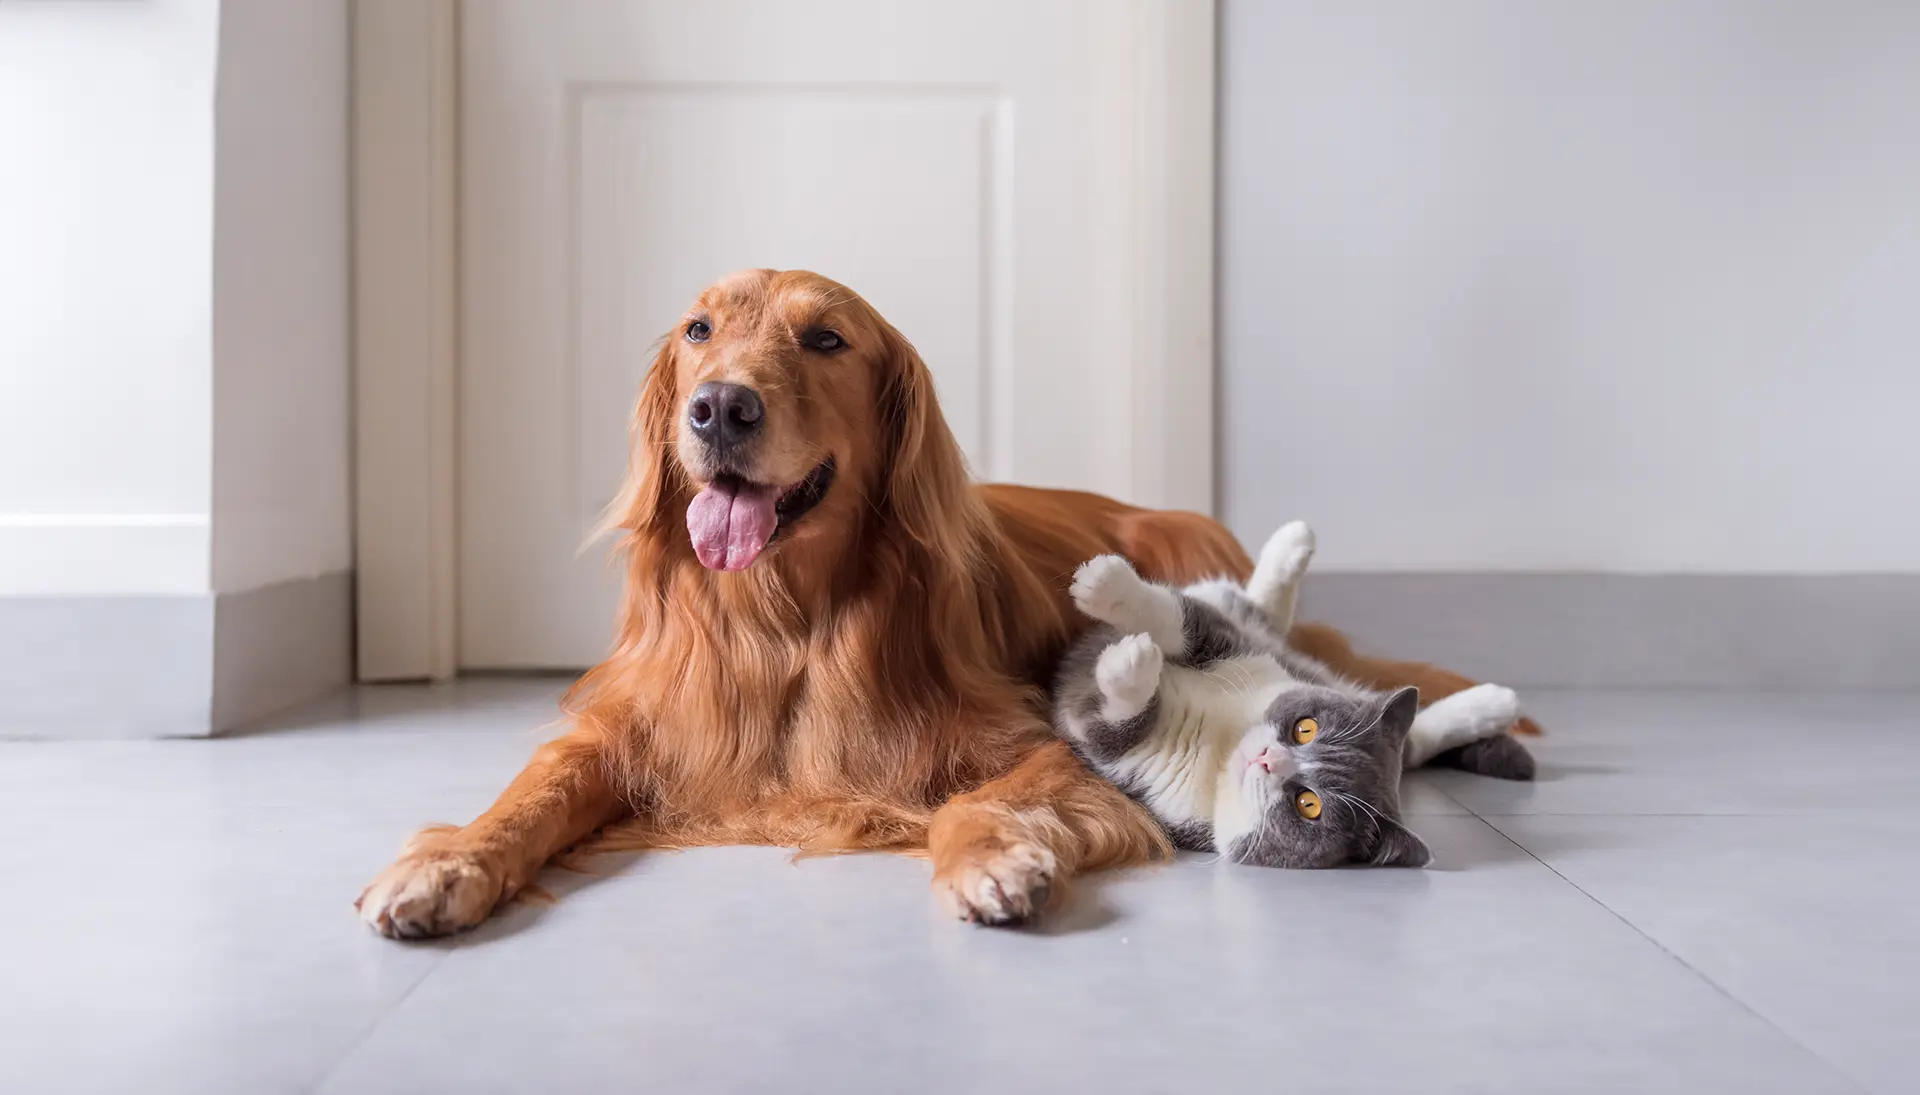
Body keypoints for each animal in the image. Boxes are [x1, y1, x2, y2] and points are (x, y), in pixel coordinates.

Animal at [1052, 518, 1528, 868]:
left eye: (1309, 805)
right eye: (1306, 728)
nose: (1269, 759)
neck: (1221, 744)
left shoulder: (1142, 778)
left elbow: (1113, 727)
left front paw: (1129, 662)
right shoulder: (1234, 646)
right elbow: (1180, 620)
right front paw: (1107, 586)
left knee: (1417, 742)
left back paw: (1495, 704)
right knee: (1254, 609)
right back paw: (1293, 542)